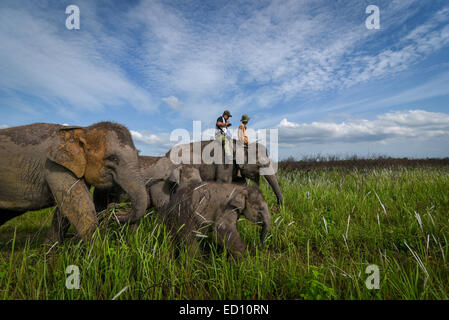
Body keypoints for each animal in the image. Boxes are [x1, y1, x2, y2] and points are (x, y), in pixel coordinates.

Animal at [0, 122, 149, 242]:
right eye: (112, 158)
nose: (116, 211)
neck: (83, 130)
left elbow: (64, 212)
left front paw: (49, 253)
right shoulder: (55, 165)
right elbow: (82, 210)